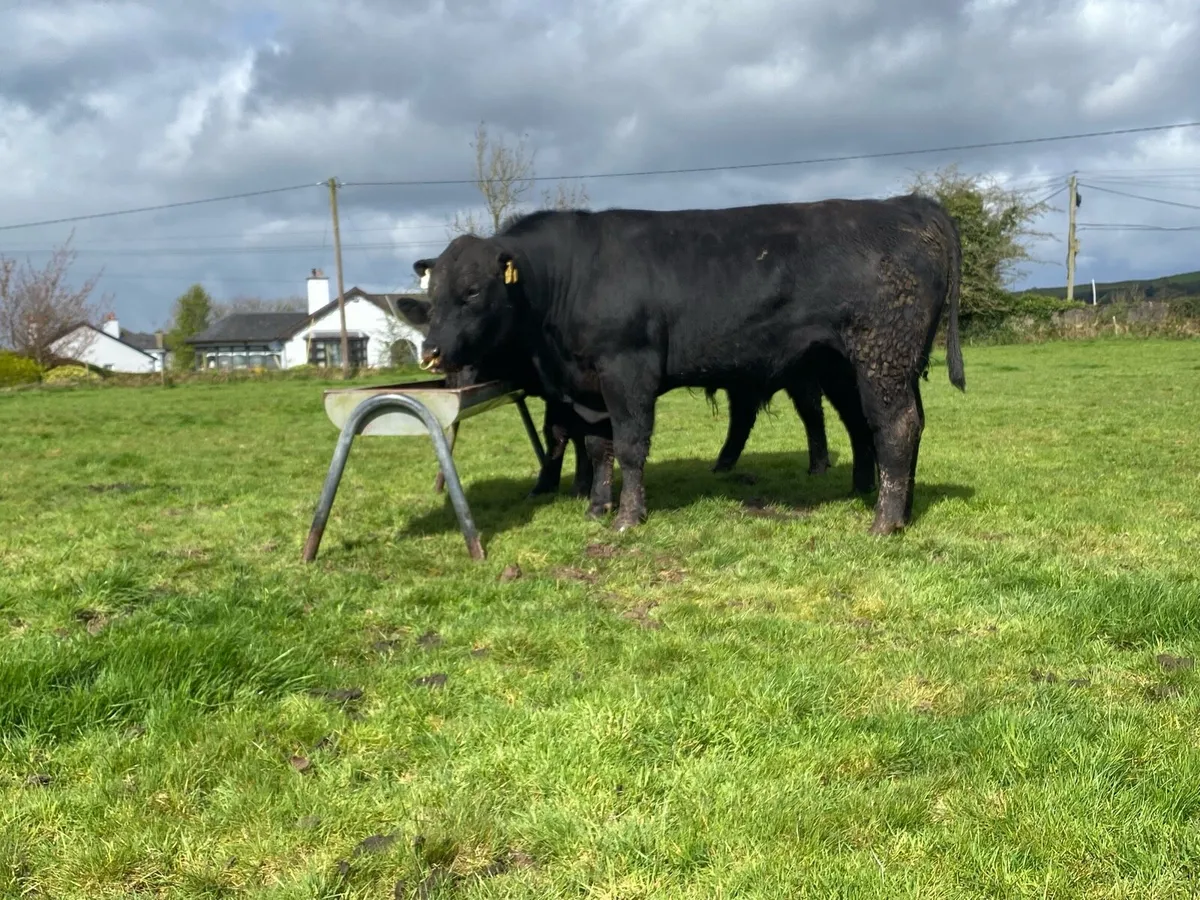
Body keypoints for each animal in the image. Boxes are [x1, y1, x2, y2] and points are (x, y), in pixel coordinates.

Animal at [414, 193, 963, 535]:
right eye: (432, 293)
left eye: (472, 291)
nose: (431, 351)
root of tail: (908, 205)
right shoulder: (590, 389)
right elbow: (597, 448)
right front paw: (597, 507)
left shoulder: (627, 370)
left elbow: (630, 446)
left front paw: (627, 517)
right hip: (857, 365)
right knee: (887, 424)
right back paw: (892, 505)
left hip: (881, 355)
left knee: (895, 425)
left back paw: (884, 521)